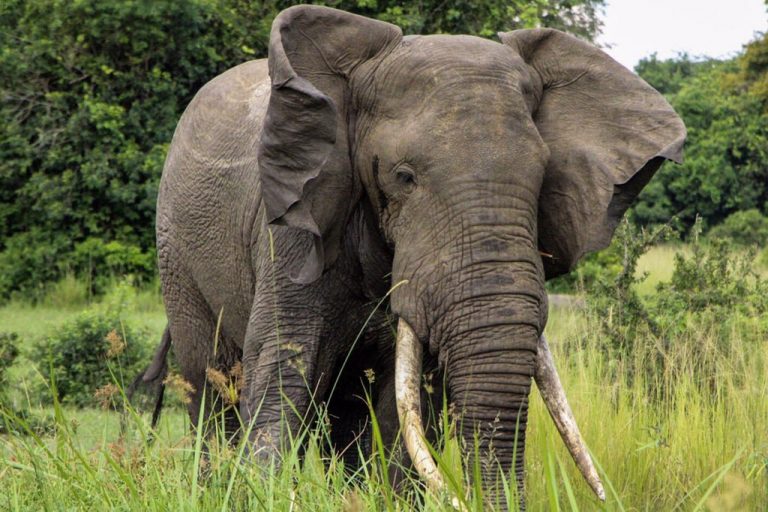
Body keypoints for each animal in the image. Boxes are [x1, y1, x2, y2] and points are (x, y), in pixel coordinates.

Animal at [149, 4, 685, 507]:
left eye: (542, 177)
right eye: (403, 177)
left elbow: (404, 411)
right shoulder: (295, 228)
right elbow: (282, 371)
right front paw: (267, 493)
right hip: (175, 250)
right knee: (212, 387)